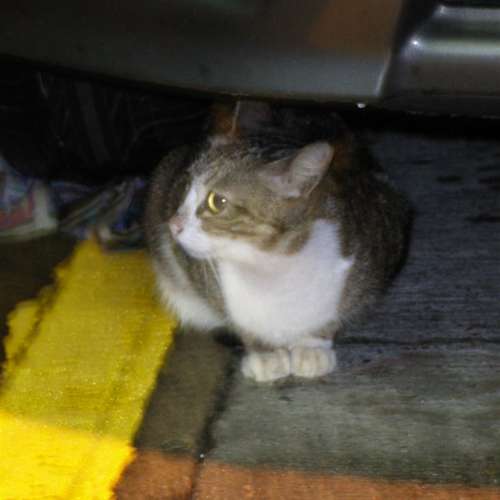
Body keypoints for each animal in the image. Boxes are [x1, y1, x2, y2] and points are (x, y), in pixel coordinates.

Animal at [145, 101, 409, 382]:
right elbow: (241, 320)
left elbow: (331, 314)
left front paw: (312, 346)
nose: (173, 223)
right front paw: (266, 354)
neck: (271, 265)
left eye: (217, 202)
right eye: (185, 187)